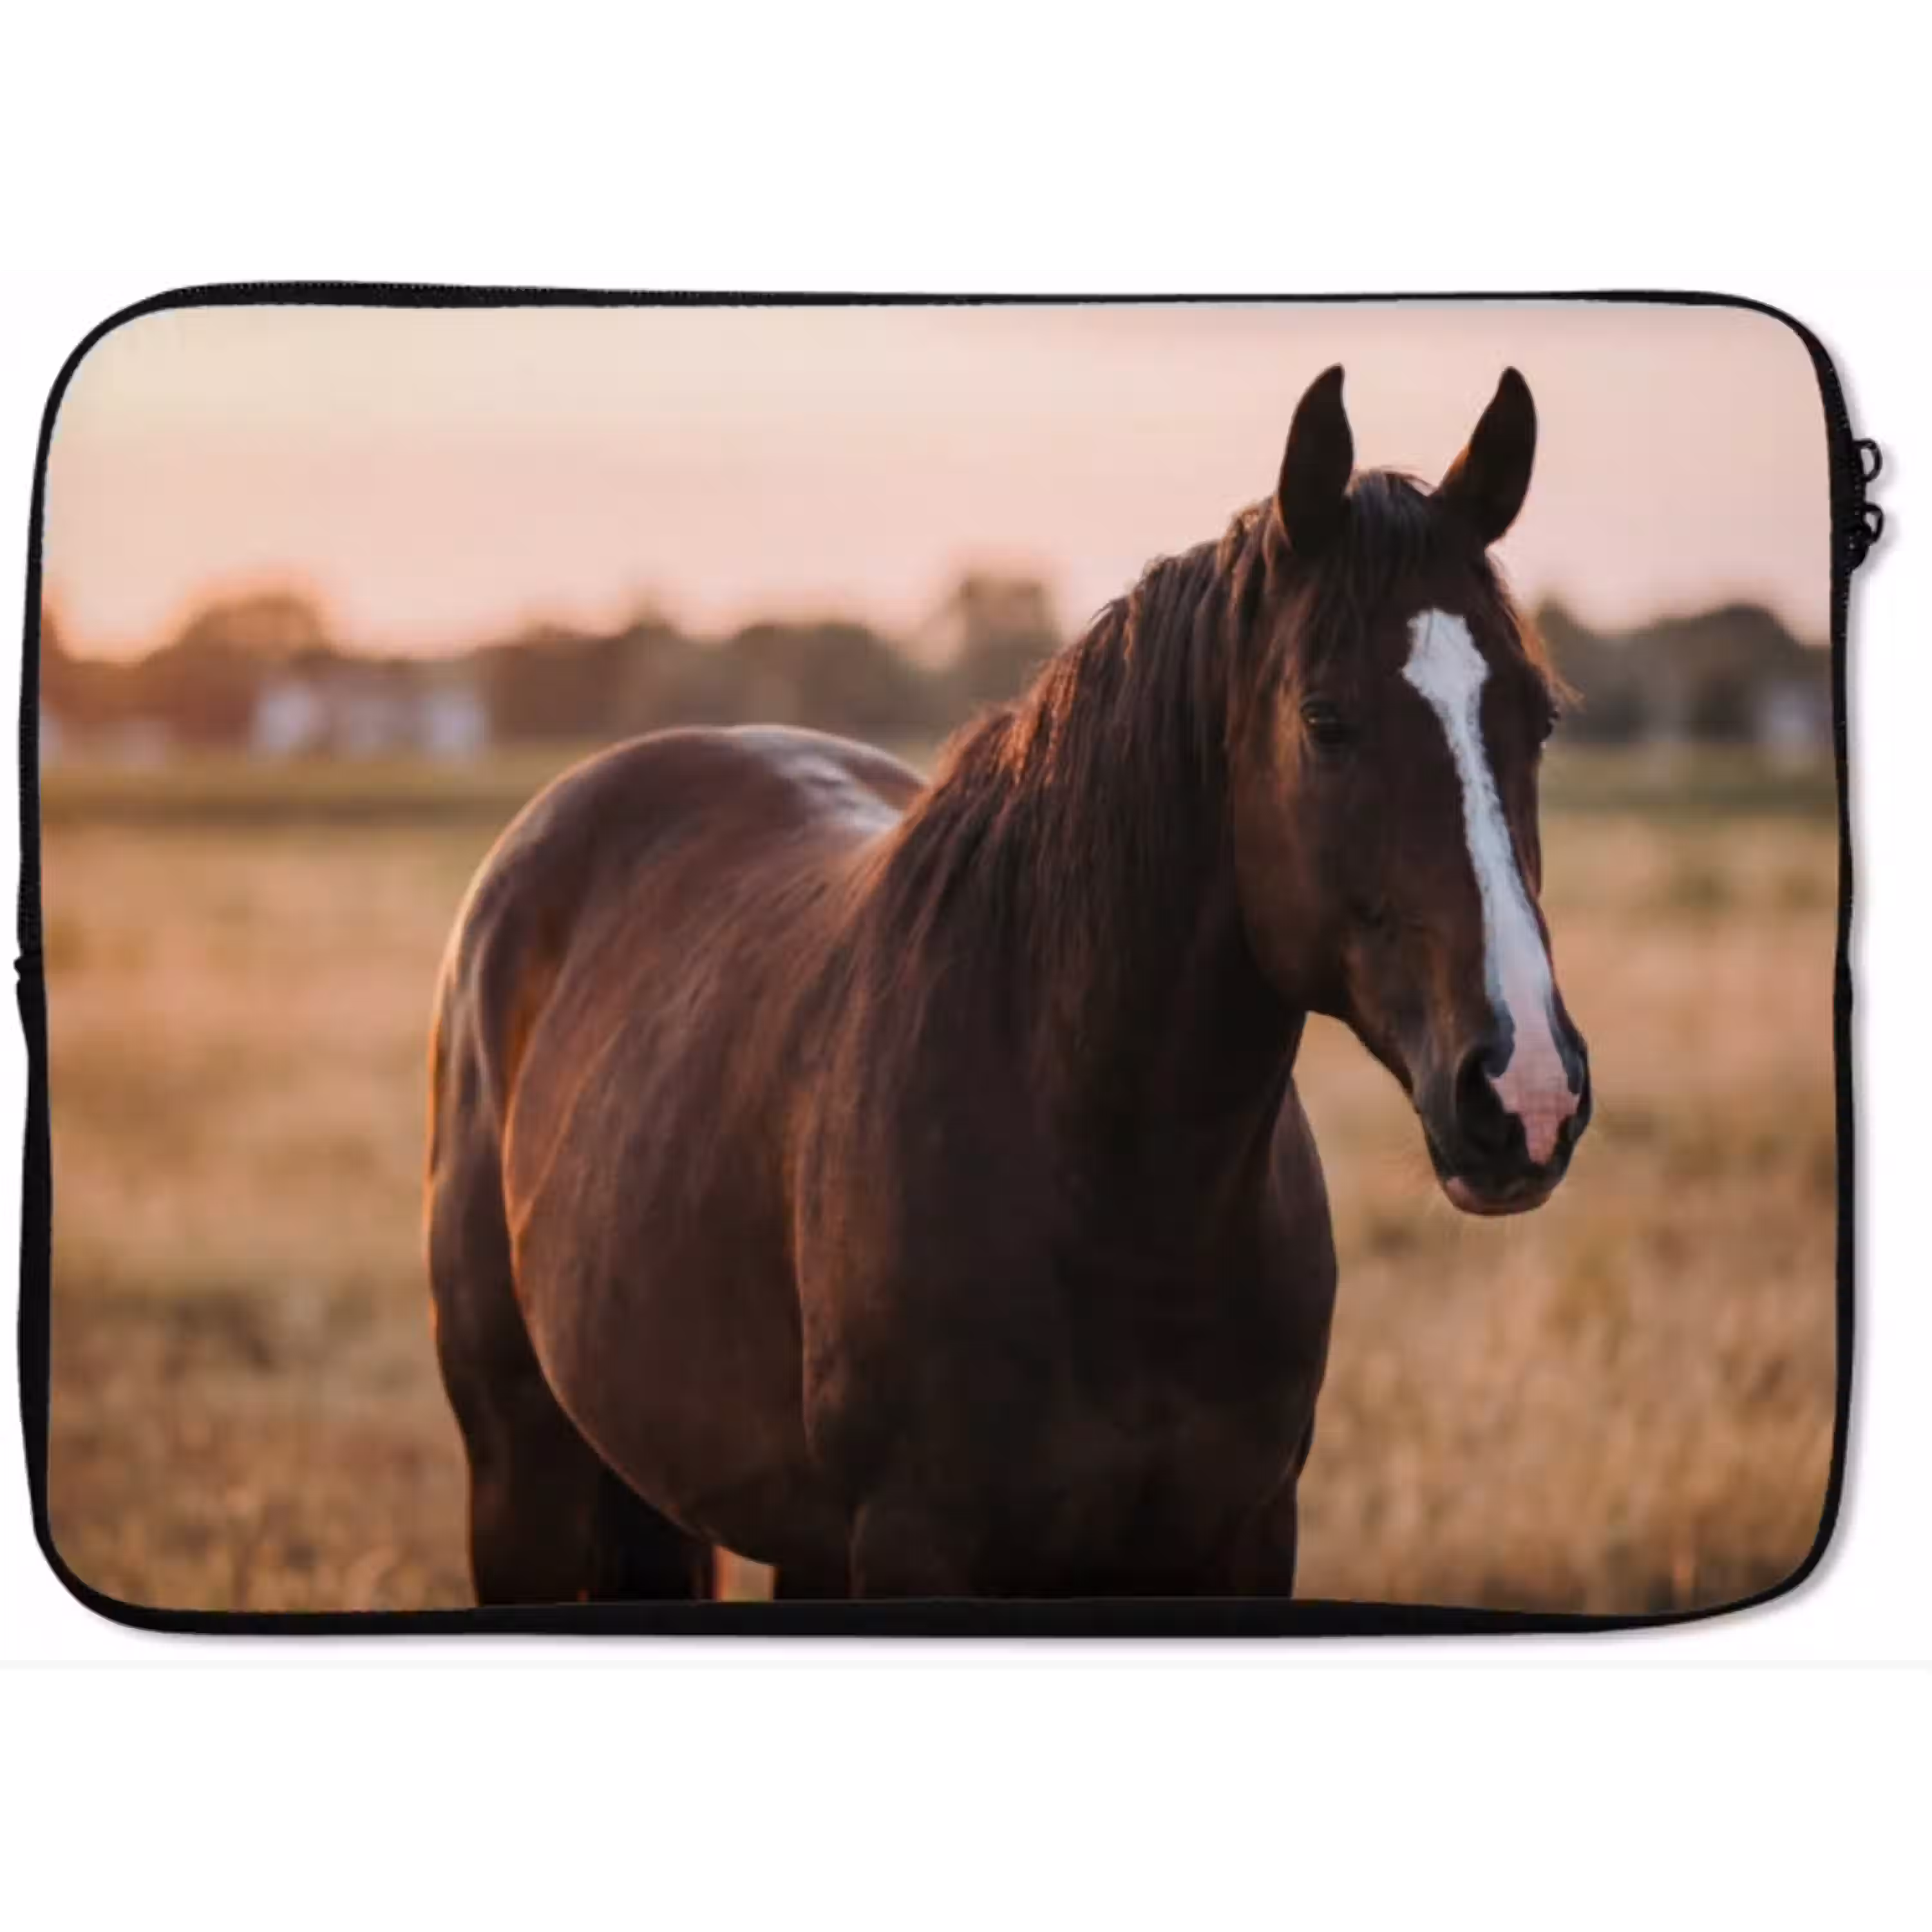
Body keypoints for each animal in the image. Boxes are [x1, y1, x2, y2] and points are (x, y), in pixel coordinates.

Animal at [425, 364, 1592, 1603]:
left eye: (1539, 717)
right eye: (1326, 720)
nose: (1525, 1092)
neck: (1112, 1192)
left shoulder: (1245, 1531)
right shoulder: (915, 1541)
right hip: (520, 1473)